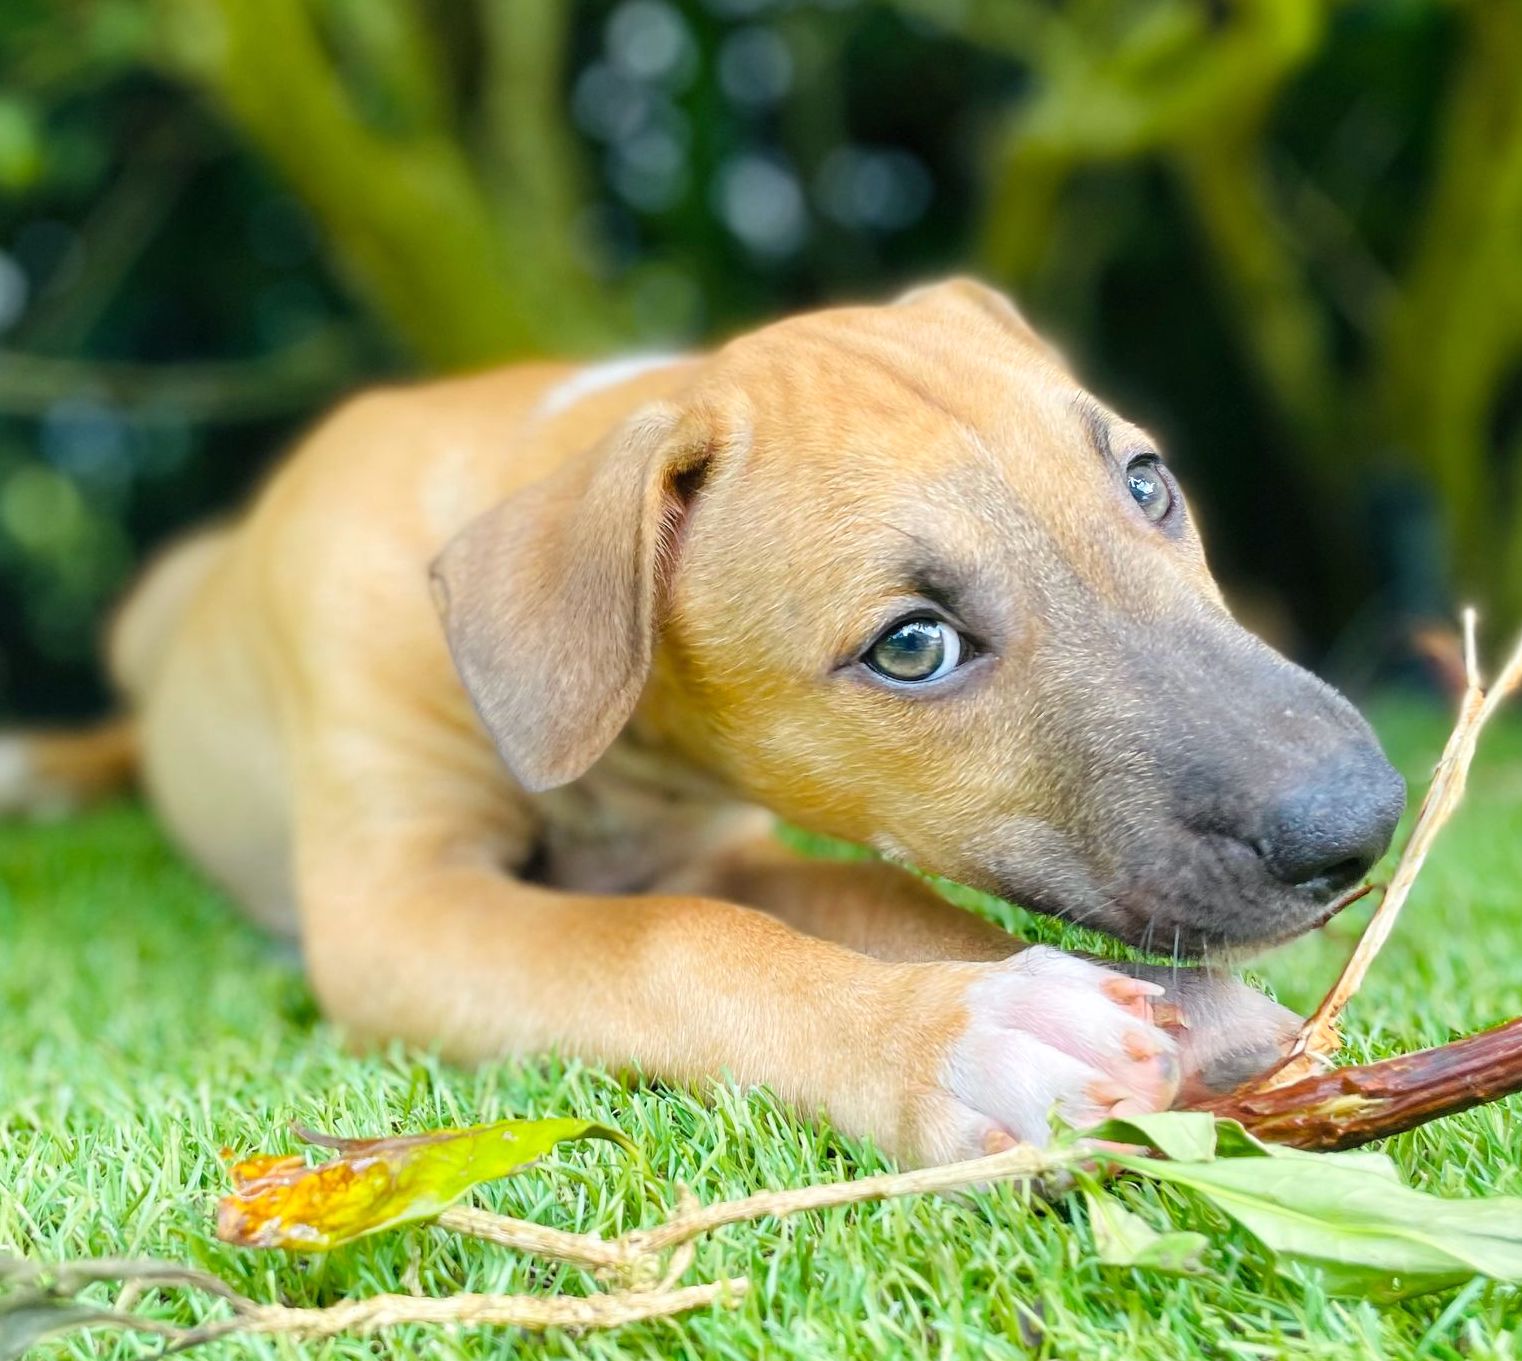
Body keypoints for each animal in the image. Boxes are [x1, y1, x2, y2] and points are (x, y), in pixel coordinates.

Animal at [2, 283, 1400, 1169]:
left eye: (1147, 483)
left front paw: (1179, 1013)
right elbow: (672, 939)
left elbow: (873, 898)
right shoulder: (398, 908)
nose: (1364, 823)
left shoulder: (712, 842)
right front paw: (957, 1039)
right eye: (911, 646)